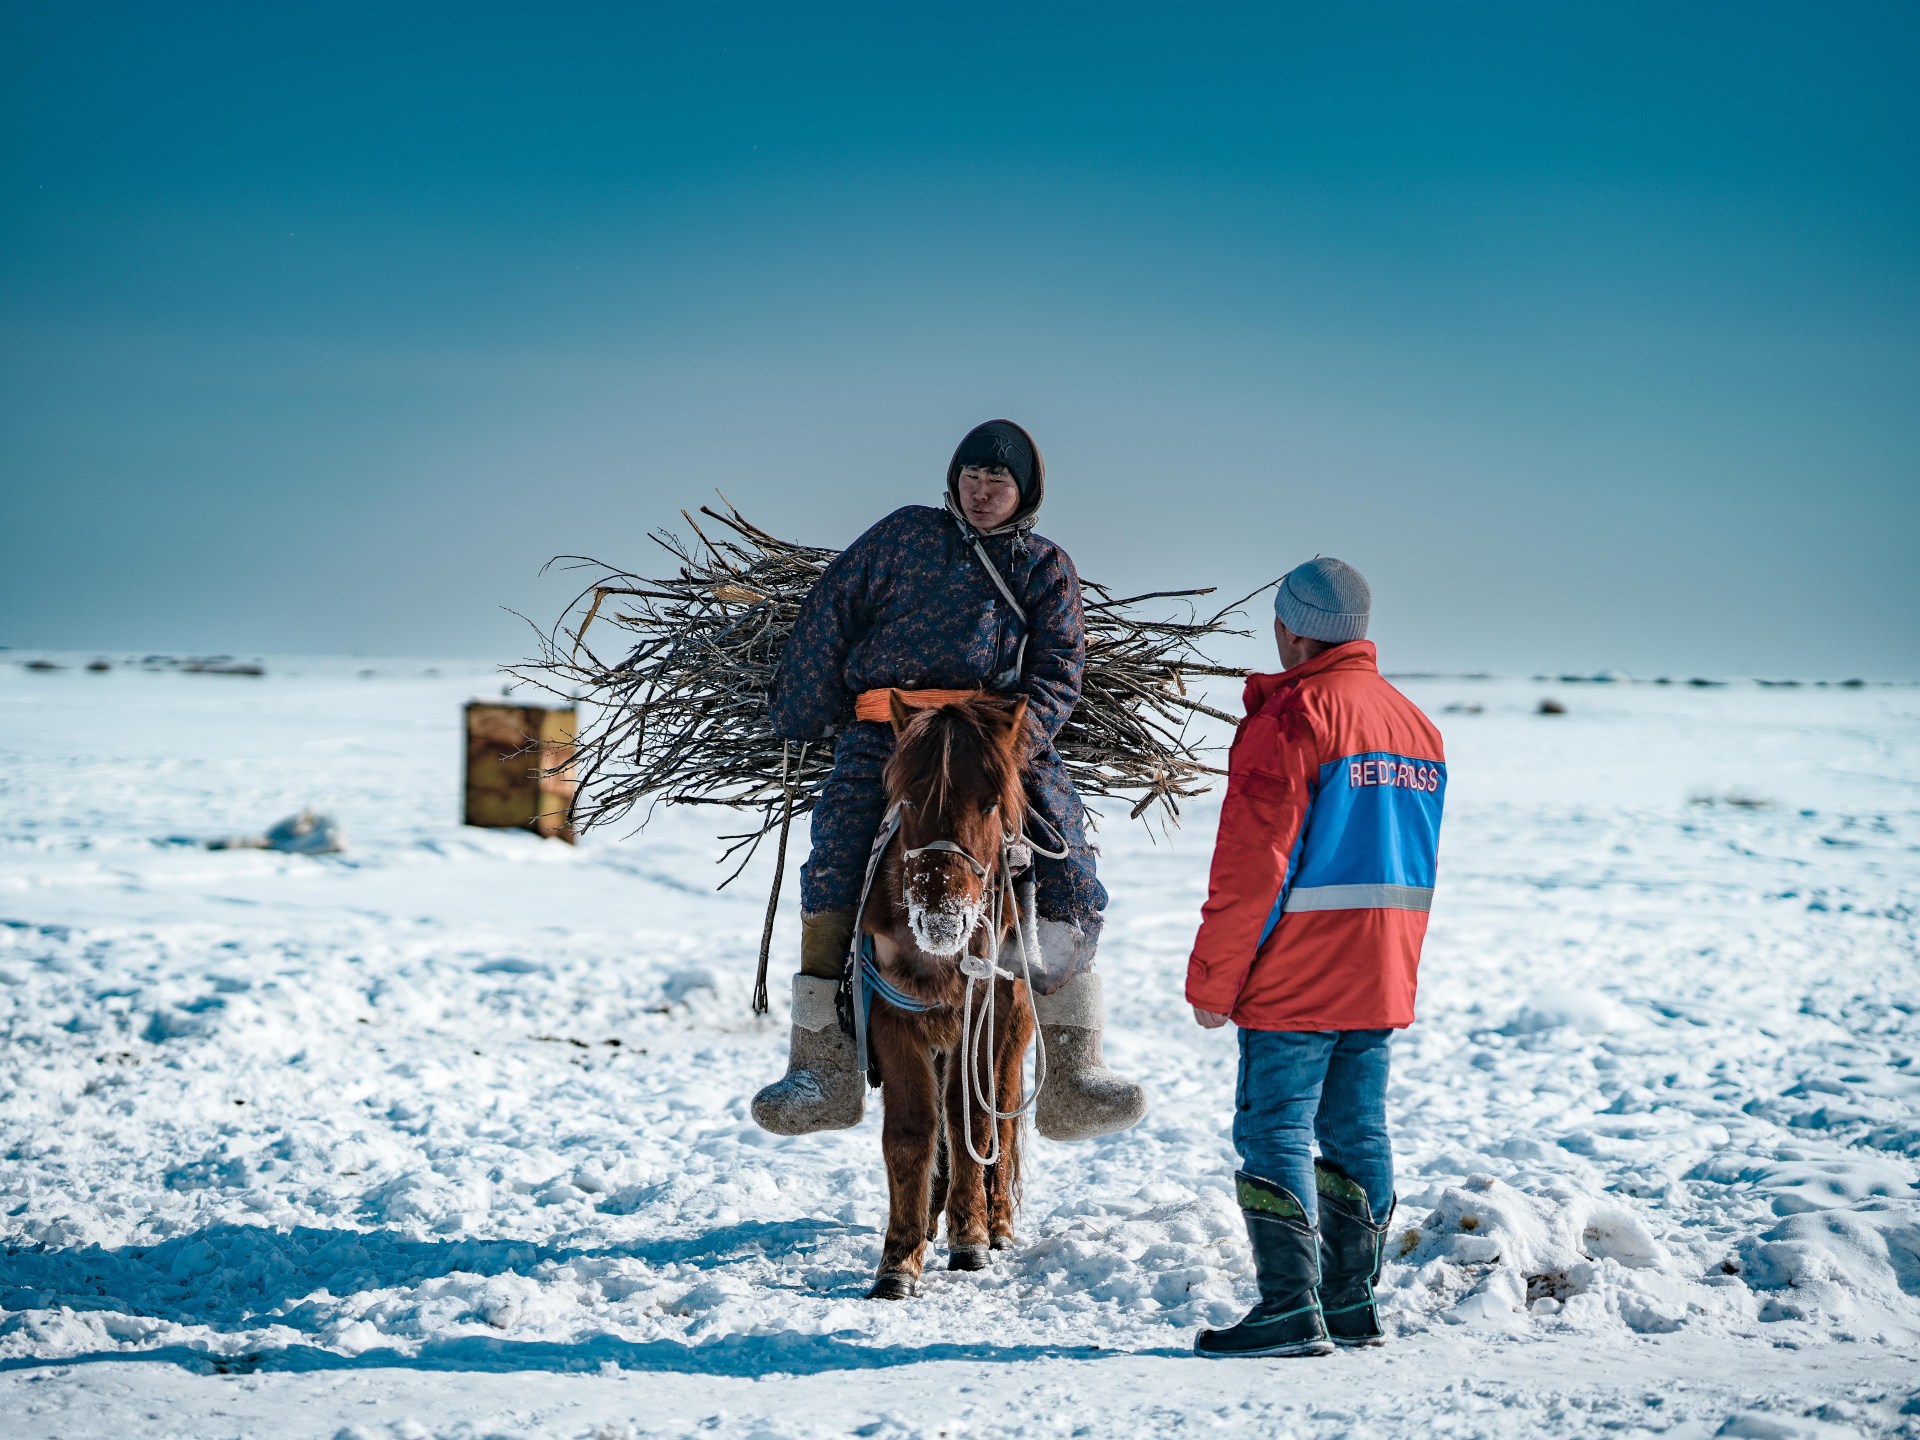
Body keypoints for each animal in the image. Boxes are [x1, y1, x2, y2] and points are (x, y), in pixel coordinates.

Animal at [864, 695, 1036, 1305]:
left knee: (1002, 1116)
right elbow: (913, 1133)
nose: (941, 920)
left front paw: (972, 1239)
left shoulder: (984, 1021)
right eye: (909, 798)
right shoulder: (892, 1019)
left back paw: (998, 1222)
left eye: (990, 803)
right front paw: (900, 1259)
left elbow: (973, 1122)